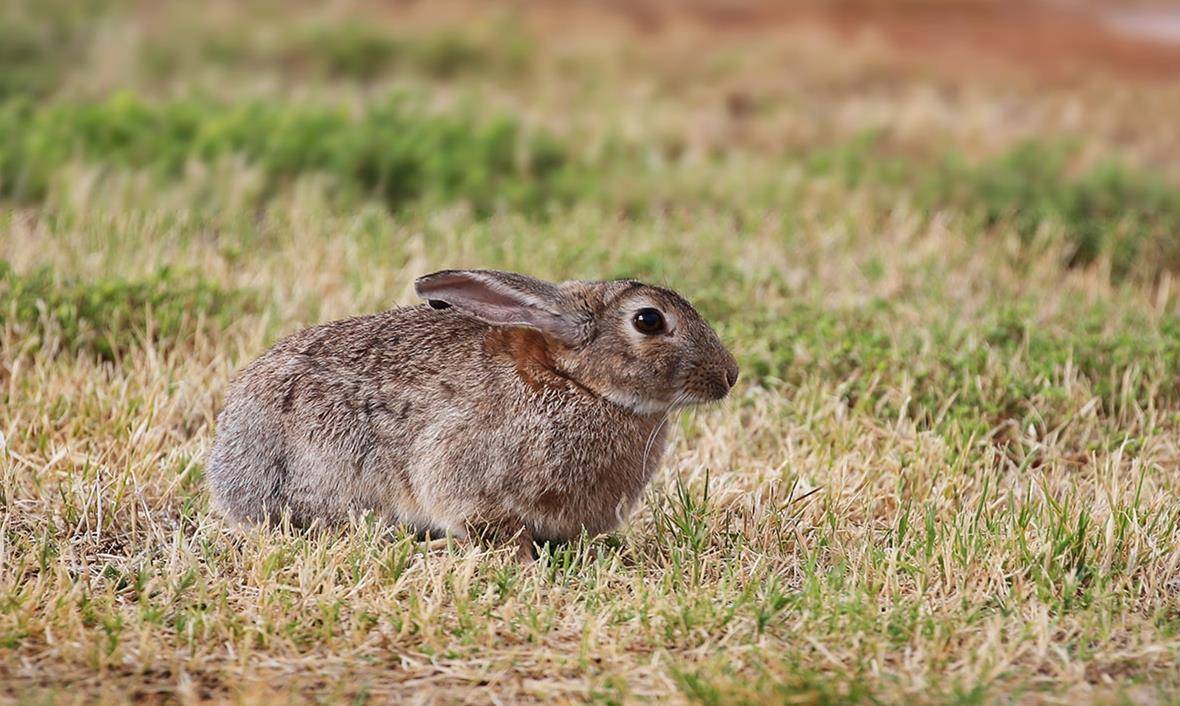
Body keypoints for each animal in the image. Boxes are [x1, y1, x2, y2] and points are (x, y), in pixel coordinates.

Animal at [202, 267, 736, 561]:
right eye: (649, 320)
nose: (729, 375)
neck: (577, 383)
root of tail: (229, 474)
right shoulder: (462, 471)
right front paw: (519, 560)